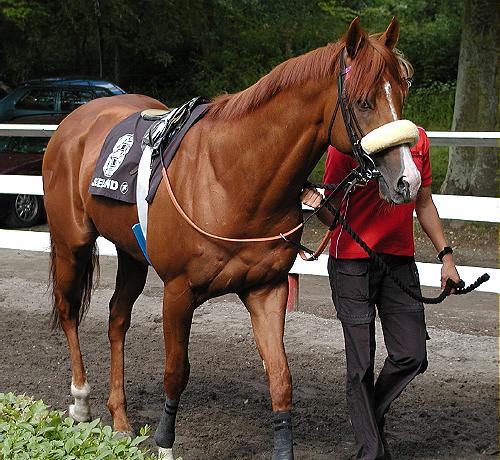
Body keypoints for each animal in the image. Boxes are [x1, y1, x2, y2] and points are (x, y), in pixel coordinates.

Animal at [42, 17, 420, 460]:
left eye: (402, 93)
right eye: (363, 102)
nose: (407, 181)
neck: (231, 177)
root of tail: (74, 122)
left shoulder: (267, 289)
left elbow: (280, 377)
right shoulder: (178, 291)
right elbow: (176, 372)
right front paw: (165, 445)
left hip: (132, 254)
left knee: (117, 319)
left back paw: (119, 419)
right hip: (72, 243)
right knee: (69, 312)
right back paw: (81, 401)